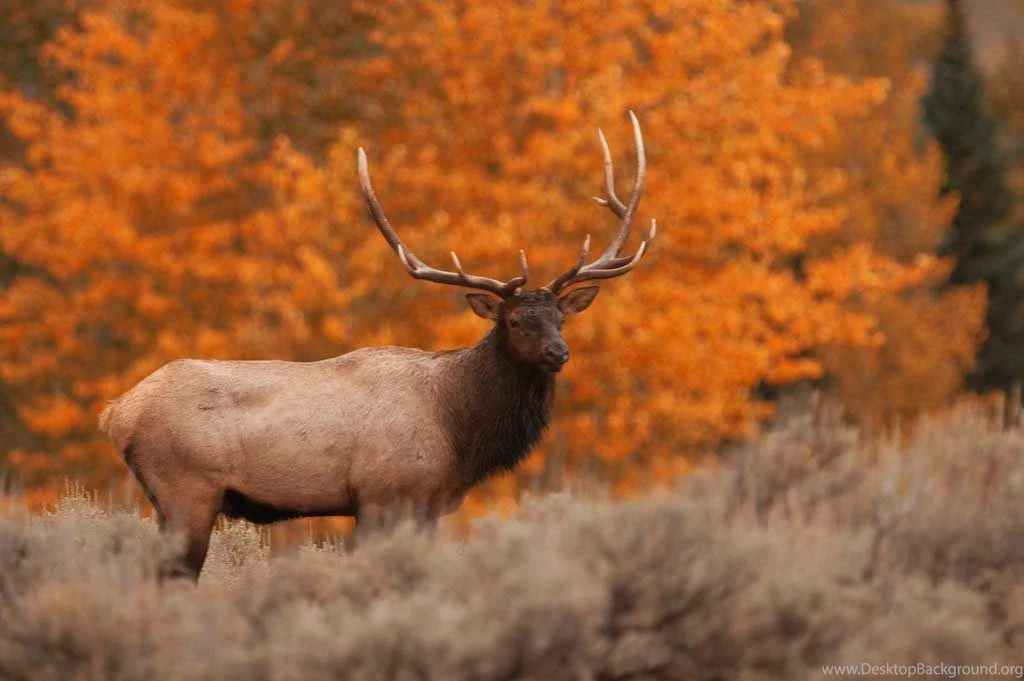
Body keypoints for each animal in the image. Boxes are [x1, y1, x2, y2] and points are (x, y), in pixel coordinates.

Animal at [98, 112, 655, 580]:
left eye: (561, 318)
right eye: (516, 321)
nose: (558, 353)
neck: (459, 429)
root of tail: (116, 412)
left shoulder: (427, 504)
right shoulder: (381, 494)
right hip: (186, 487)